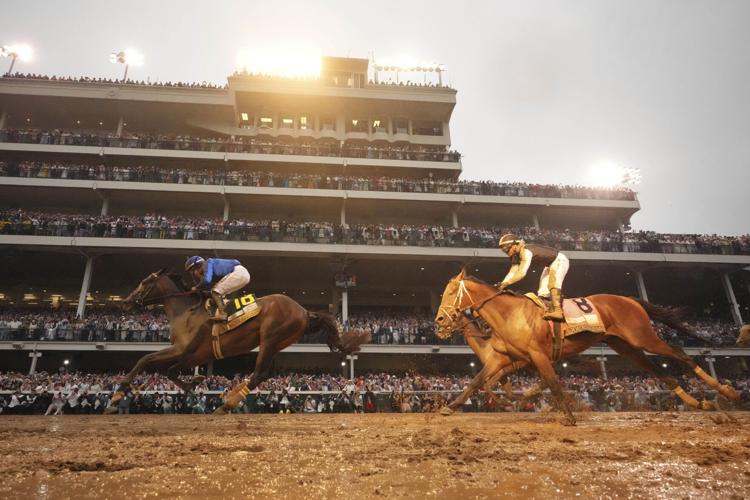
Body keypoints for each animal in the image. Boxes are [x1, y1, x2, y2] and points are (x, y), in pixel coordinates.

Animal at [119, 269, 369, 414]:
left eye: (144, 282)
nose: (126, 302)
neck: (186, 313)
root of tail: (304, 311)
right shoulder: (190, 354)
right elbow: (161, 367)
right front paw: (195, 381)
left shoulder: (187, 351)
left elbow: (152, 362)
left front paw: (118, 393)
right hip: (275, 344)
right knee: (265, 374)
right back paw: (232, 397)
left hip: (270, 338)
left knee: (259, 373)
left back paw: (226, 404)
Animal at [434, 269, 740, 425]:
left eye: (450, 292)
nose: (438, 321)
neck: (509, 314)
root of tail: (630, 300)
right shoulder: (503, 359)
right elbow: (477, 382)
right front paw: (450, 407)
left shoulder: (536, 356)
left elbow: (552, 383)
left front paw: (568, 416)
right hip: (625, 346)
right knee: (658, 371)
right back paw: (697, 401)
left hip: (642, 337)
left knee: (680, 355)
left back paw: (726, 391)